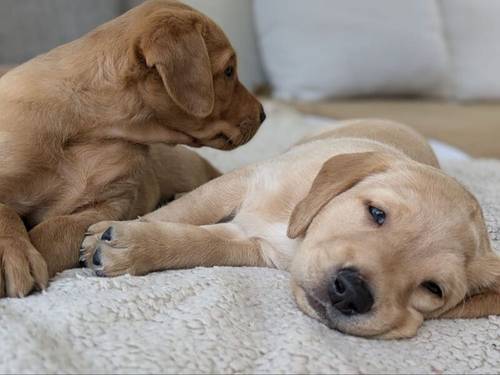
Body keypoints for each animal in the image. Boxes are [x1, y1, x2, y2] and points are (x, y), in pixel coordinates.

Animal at [0, 1, 266, 298]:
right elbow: (5, 212)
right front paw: (14, 253)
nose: (264, 114)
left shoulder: (109, 206)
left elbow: (57, 230)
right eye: (229, 71)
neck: (92, 130)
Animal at [80, 121, 498, 340]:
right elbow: (188, 210)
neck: (296, 229)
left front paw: (136, 245)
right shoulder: (242, 180)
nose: (352, 294)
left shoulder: (249, 245)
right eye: (377, 213)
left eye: (433, 289)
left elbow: (197, 243)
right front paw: (124, 231)